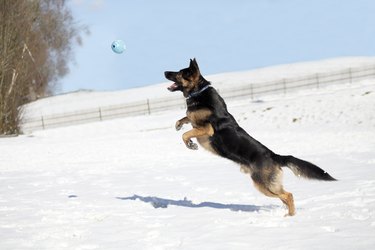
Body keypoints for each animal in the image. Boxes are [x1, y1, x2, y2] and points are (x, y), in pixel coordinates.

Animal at [166, 59, 336, 217]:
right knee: (284, 197)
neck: (199, 91)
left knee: (289, 195)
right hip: (267, 185)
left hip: (263, 184)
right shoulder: (195, 123)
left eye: (179, 73)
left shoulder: (207, 129)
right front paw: (179, 125)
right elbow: (184, 119)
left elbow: (185, 134)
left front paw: (190, 144)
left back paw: (290, 217)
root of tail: (275, 156)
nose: (165, 72)